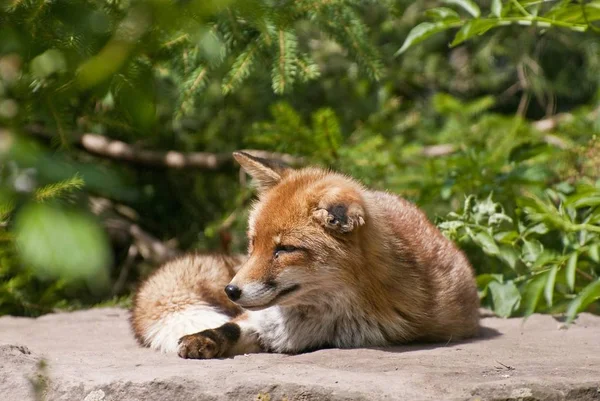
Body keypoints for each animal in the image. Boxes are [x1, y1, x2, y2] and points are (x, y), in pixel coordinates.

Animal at [130, 152, 478, 358]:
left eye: (284, 249)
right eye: (253, 244)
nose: (231, 290)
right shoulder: (262, 319)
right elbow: (231, 326)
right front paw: (202, 339)